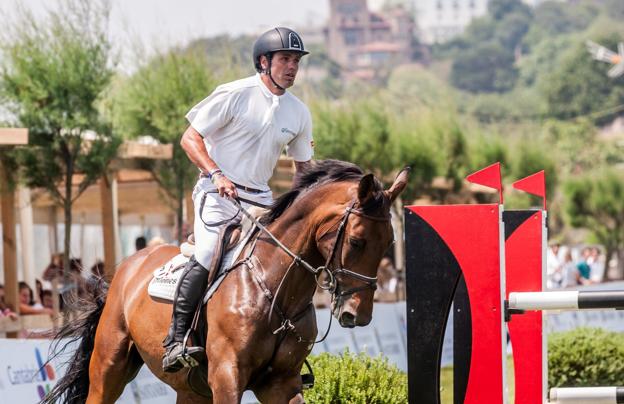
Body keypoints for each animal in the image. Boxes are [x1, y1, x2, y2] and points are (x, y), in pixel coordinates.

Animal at [42, 159, 404, 402]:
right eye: (356, 241)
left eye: (389, 243)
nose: (358, 315)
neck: (274, 290)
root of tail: (128, 266)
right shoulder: (226, 376)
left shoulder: (282, 382)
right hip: (110, 366)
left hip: (191, 388)